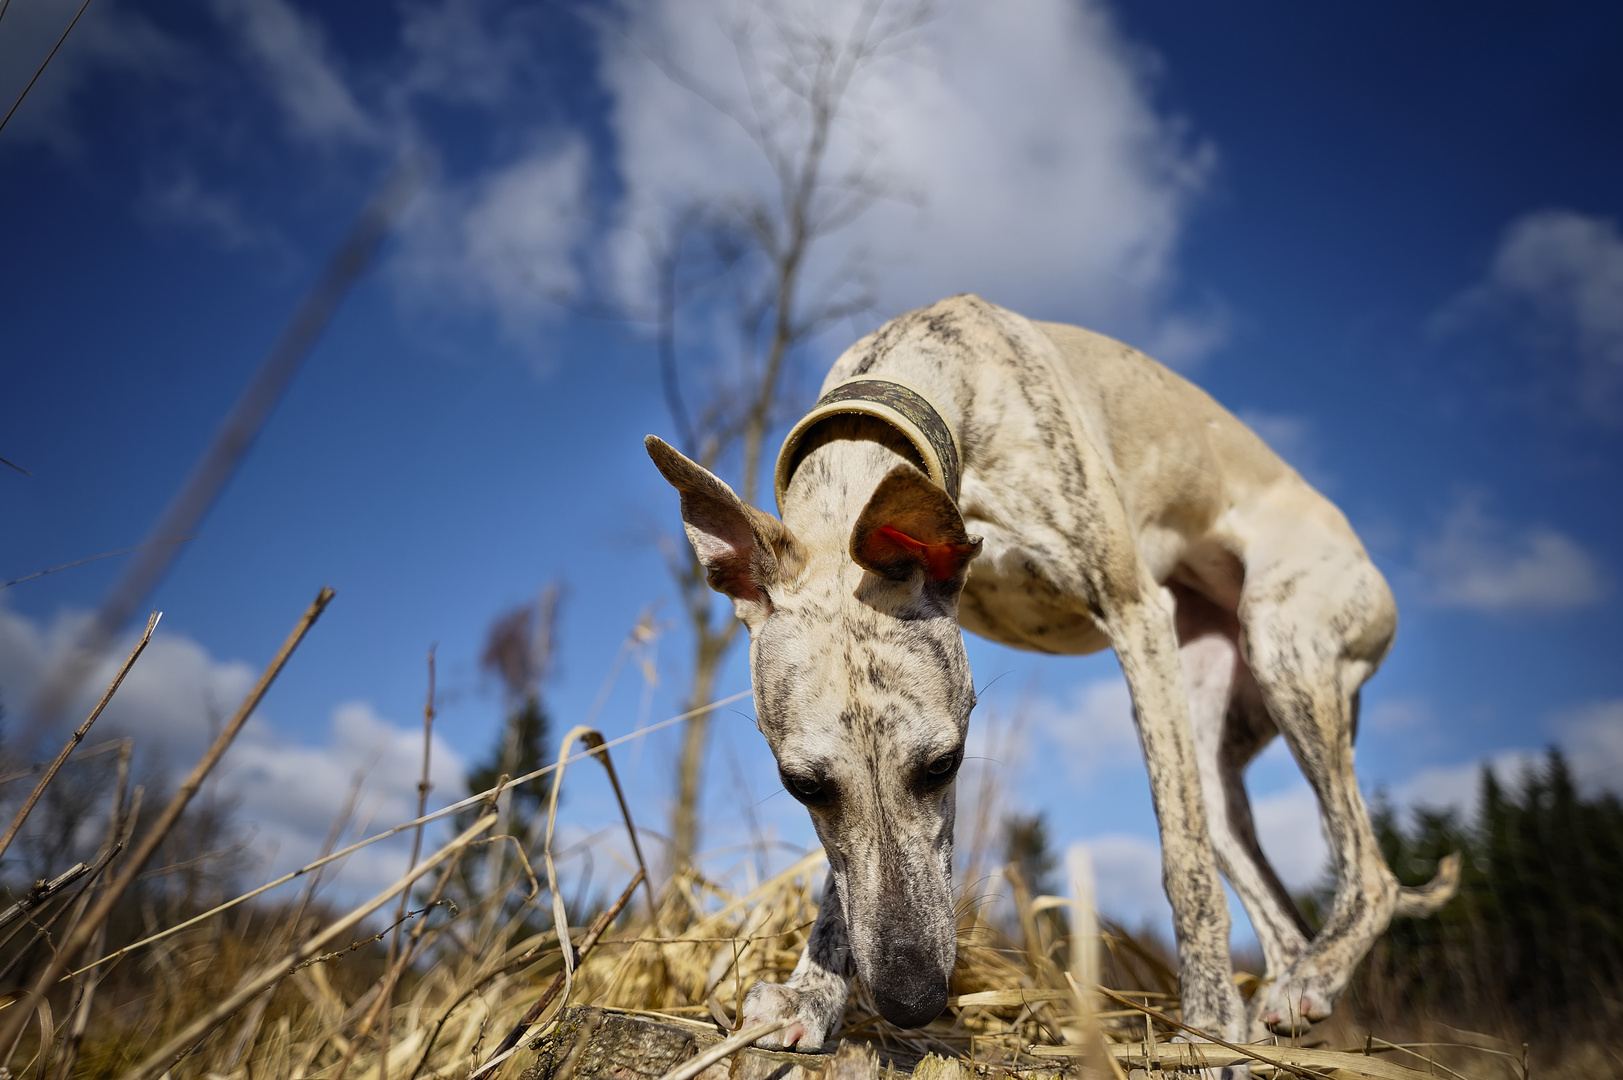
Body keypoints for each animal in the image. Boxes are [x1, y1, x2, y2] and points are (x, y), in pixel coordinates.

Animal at [642, 292, 1460, 1045]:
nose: (912, 1003)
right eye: (801, 786)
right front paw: (810, 996)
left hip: (1282, 644)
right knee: (1280, 906)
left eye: (944, 766)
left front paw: (1205, 1023)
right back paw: (1288, 995)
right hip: (1207, 730)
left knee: (1369, 873)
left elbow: (1182, 865)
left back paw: (1295, 986)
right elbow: (843, 883)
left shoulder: (1134, 612)